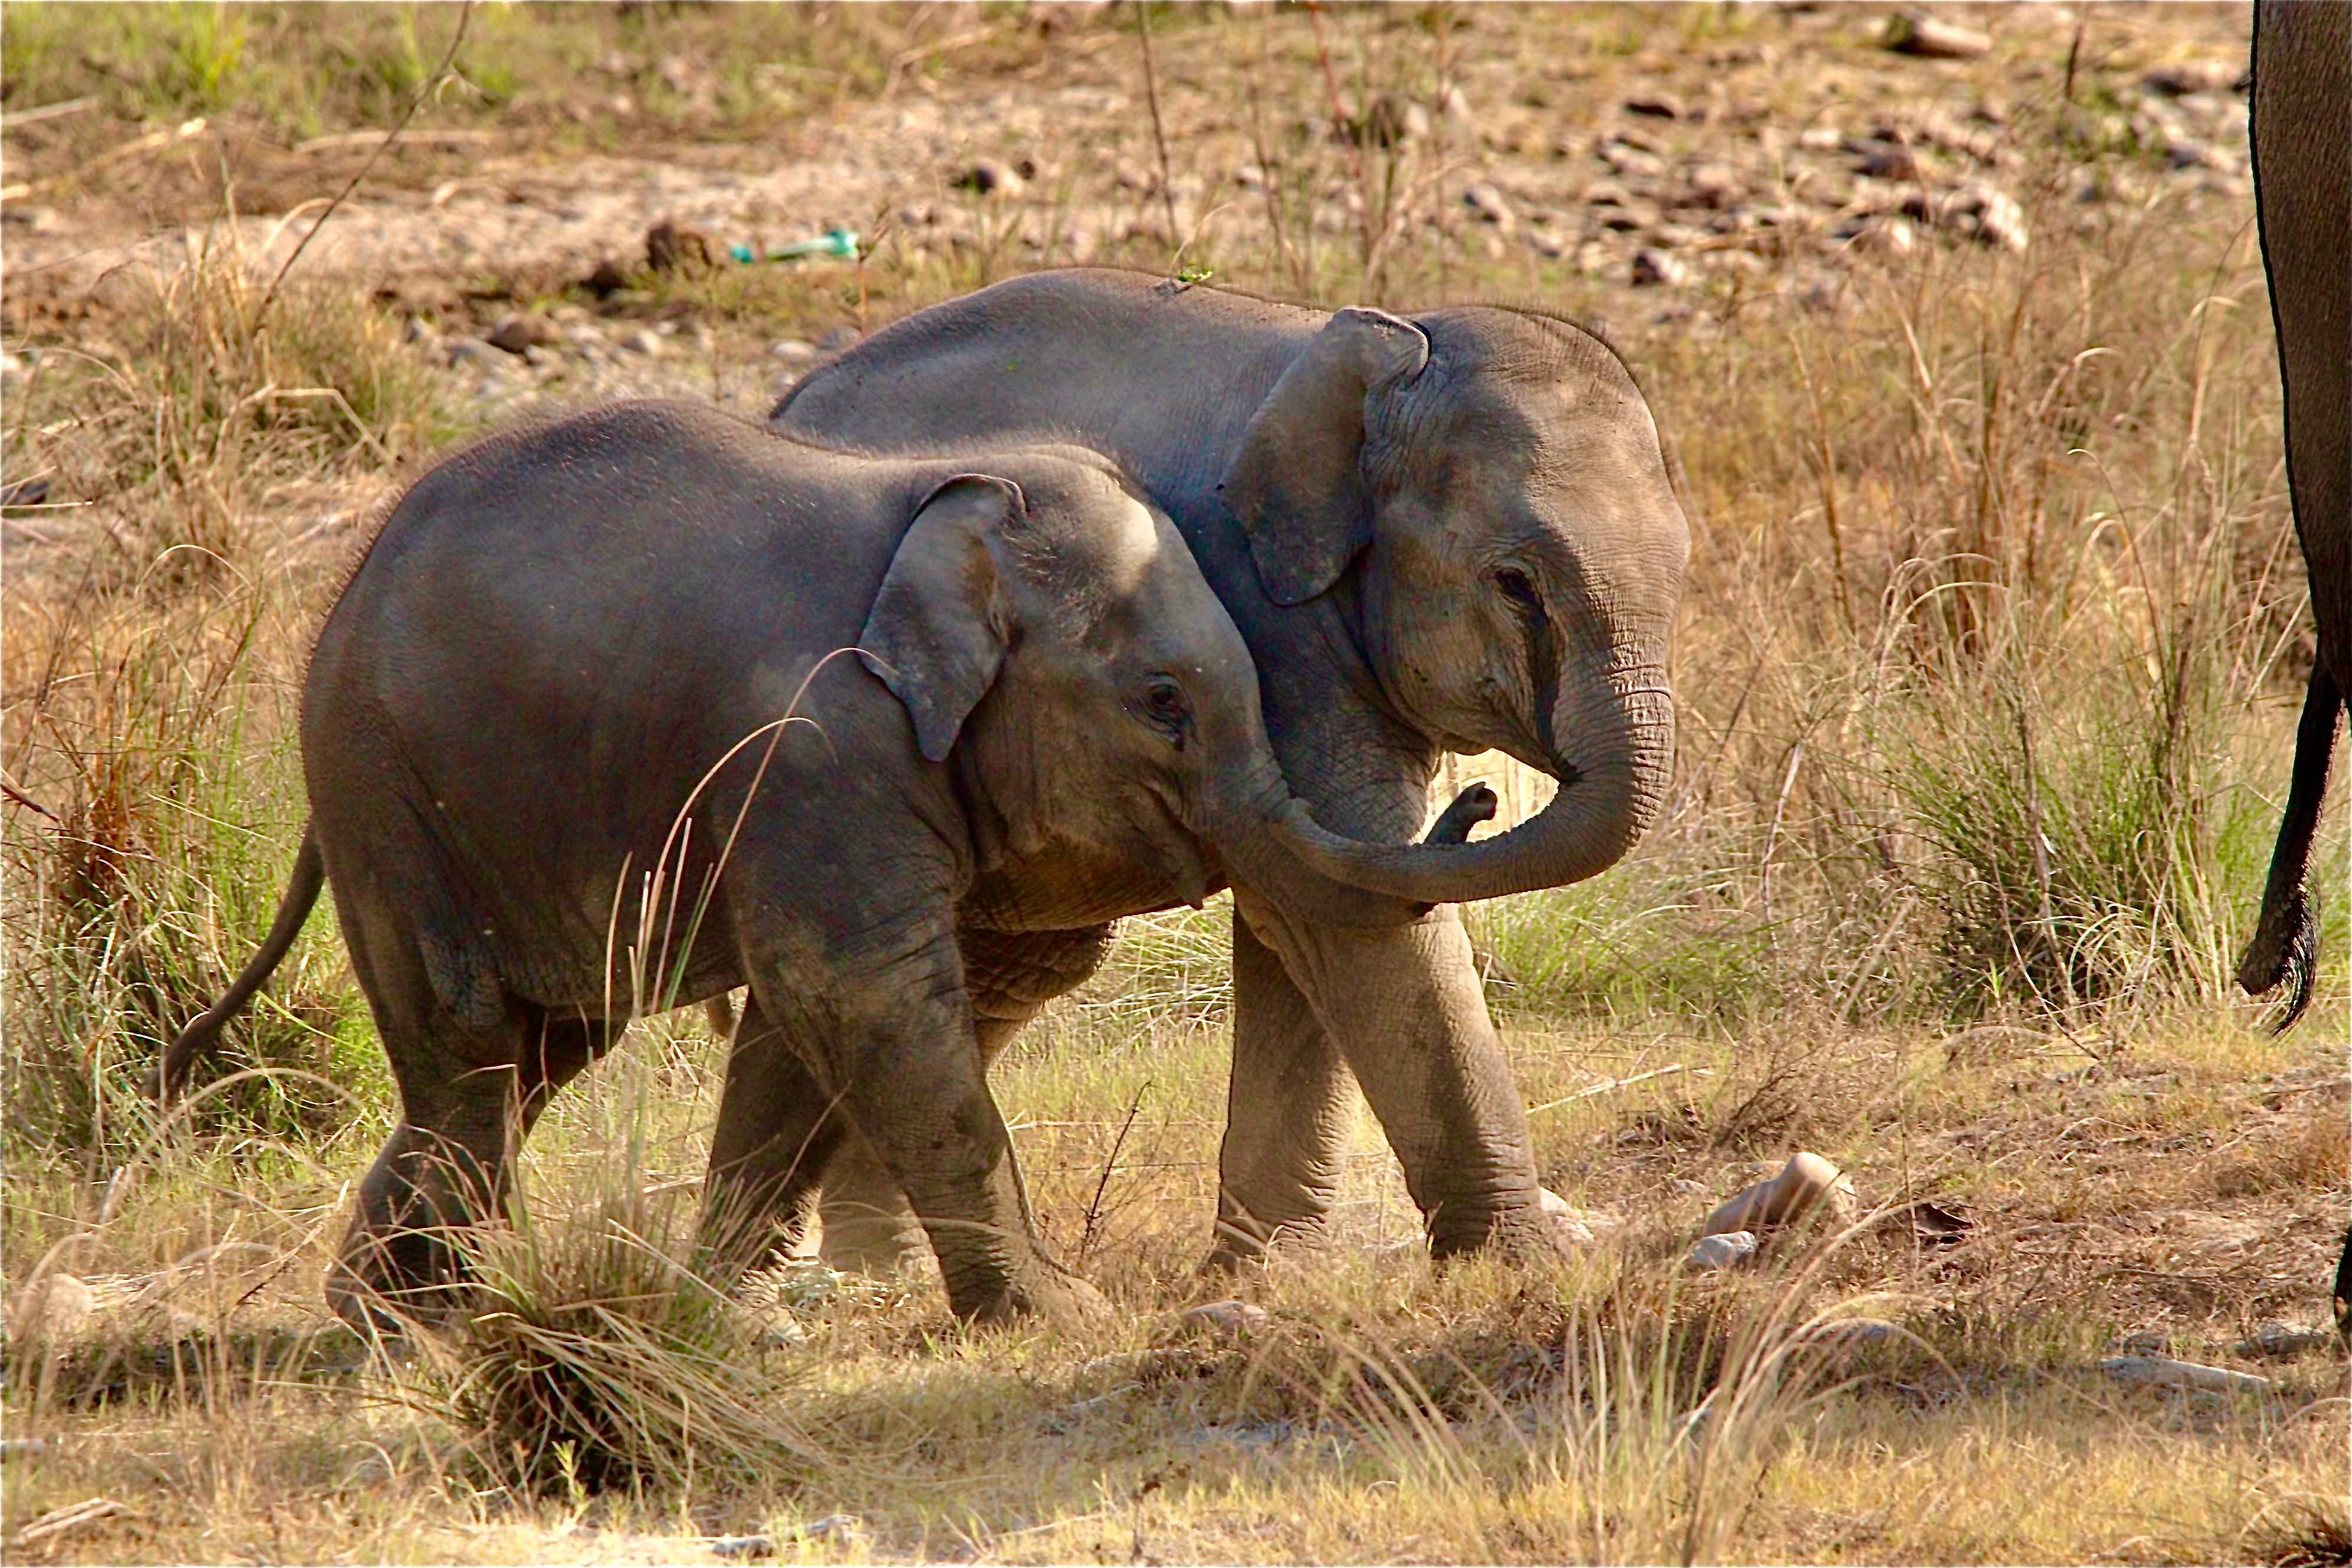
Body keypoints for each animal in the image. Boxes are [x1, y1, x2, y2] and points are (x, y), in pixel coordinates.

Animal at [157, 400, 1493, 1326]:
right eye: (1164, 703)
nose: (1477, 795)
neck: (949, 533)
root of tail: (337, 605)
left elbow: (799, 1029)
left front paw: (719, 1310)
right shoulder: (814, 757)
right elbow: (860, 993)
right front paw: (1061, 1317)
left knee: (535, 1052)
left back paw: (375, 1307)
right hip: (388, 800)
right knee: (475, 1053)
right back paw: (442, 1319)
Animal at [770, 268, 1690, 1273]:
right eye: (1516, 585)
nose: (1480, 801)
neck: (1375, 356)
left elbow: (1312, 928)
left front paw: (1277, 1267)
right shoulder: (1265, 628)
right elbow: (1342, 914)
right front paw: (1523, 1261)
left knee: (1015, 962)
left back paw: (880, 1268)